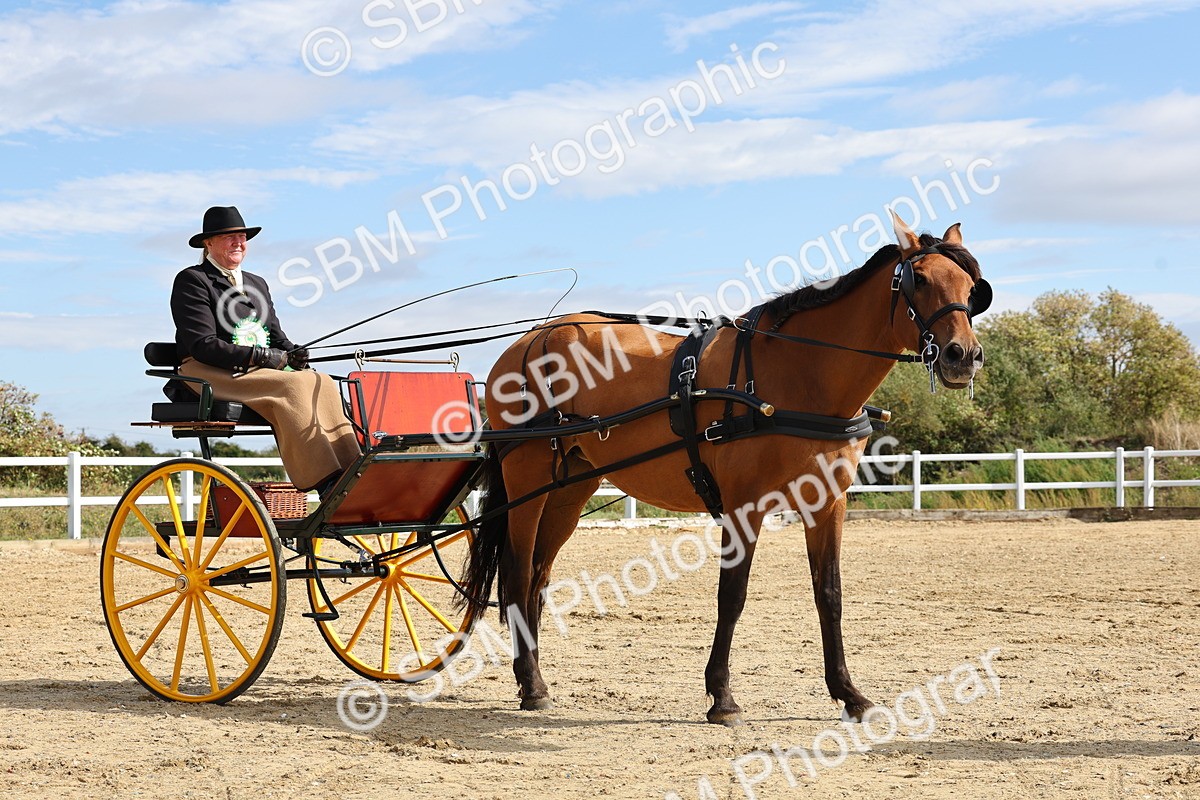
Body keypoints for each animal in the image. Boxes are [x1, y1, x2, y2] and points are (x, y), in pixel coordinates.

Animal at [459, 212, 988, 725]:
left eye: (970, 286)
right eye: (919, 279)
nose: (964, 355)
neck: (799, 372)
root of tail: (529, 341)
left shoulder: (827, 504)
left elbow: (830, 595)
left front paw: (849, 693)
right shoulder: (743, 505)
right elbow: (732, 596)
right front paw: (722, 697)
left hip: (570, 486)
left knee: (539, 578)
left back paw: (535, 679)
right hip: (527, 479)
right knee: (518, 574)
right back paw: (530, 683)